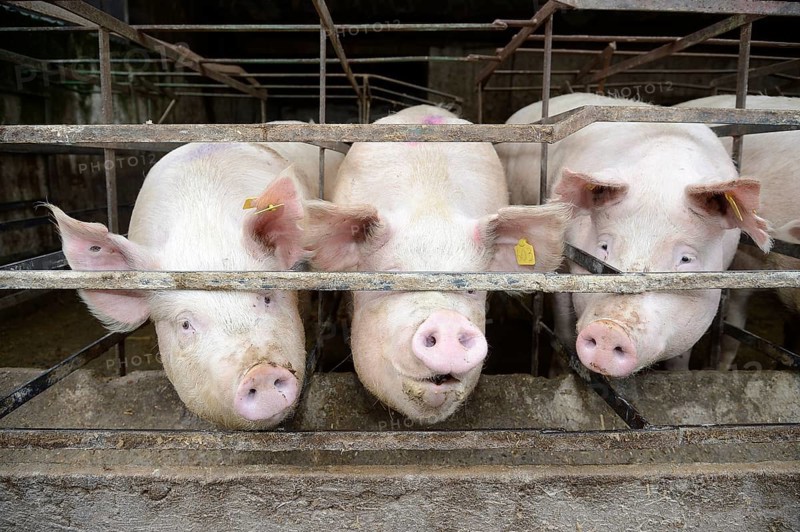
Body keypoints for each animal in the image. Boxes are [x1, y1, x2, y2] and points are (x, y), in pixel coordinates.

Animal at [496, 93, 771, 377]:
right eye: (604, 247)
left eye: (686, 259)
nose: (609, 329)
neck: (659, 178)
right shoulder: (563, 260)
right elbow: (562, 325)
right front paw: (559, 374)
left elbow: (681, 358)